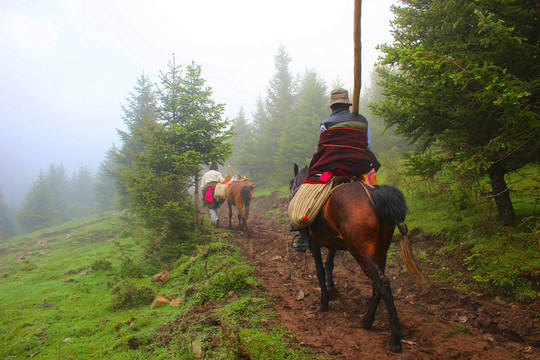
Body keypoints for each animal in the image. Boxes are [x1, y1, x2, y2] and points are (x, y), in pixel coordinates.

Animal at [292, 165, 422, 352]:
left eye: (292, 185)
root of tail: (372, 194)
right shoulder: (333, 243)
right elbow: (329, 264)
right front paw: (333, 290)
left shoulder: (315, 244)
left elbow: (320, 271)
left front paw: (324, 302)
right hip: (381, 251)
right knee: (378, 284)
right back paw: (368, 321)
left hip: (361, 251)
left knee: (382, 282)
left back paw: (395, 338)